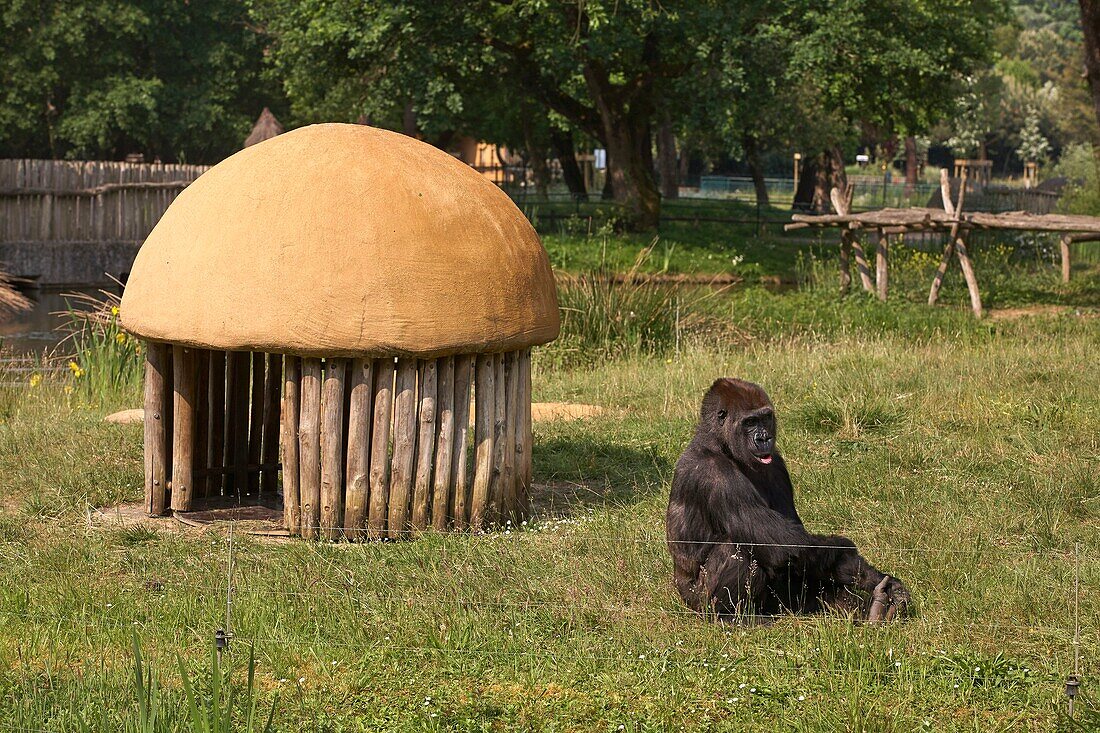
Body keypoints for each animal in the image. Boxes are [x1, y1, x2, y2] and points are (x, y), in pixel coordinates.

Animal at [664, 376, 906, 620]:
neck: (720, 444)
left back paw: (871, 609)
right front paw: (850, 556)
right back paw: (731, 618)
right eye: (749, 422)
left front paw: (872, 578)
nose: (764, 438)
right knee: (736, 548)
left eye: (765, 418)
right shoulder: (714, 474)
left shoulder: (777, 465)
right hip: (698, 602)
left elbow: (797, 542)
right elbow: (783, 545)